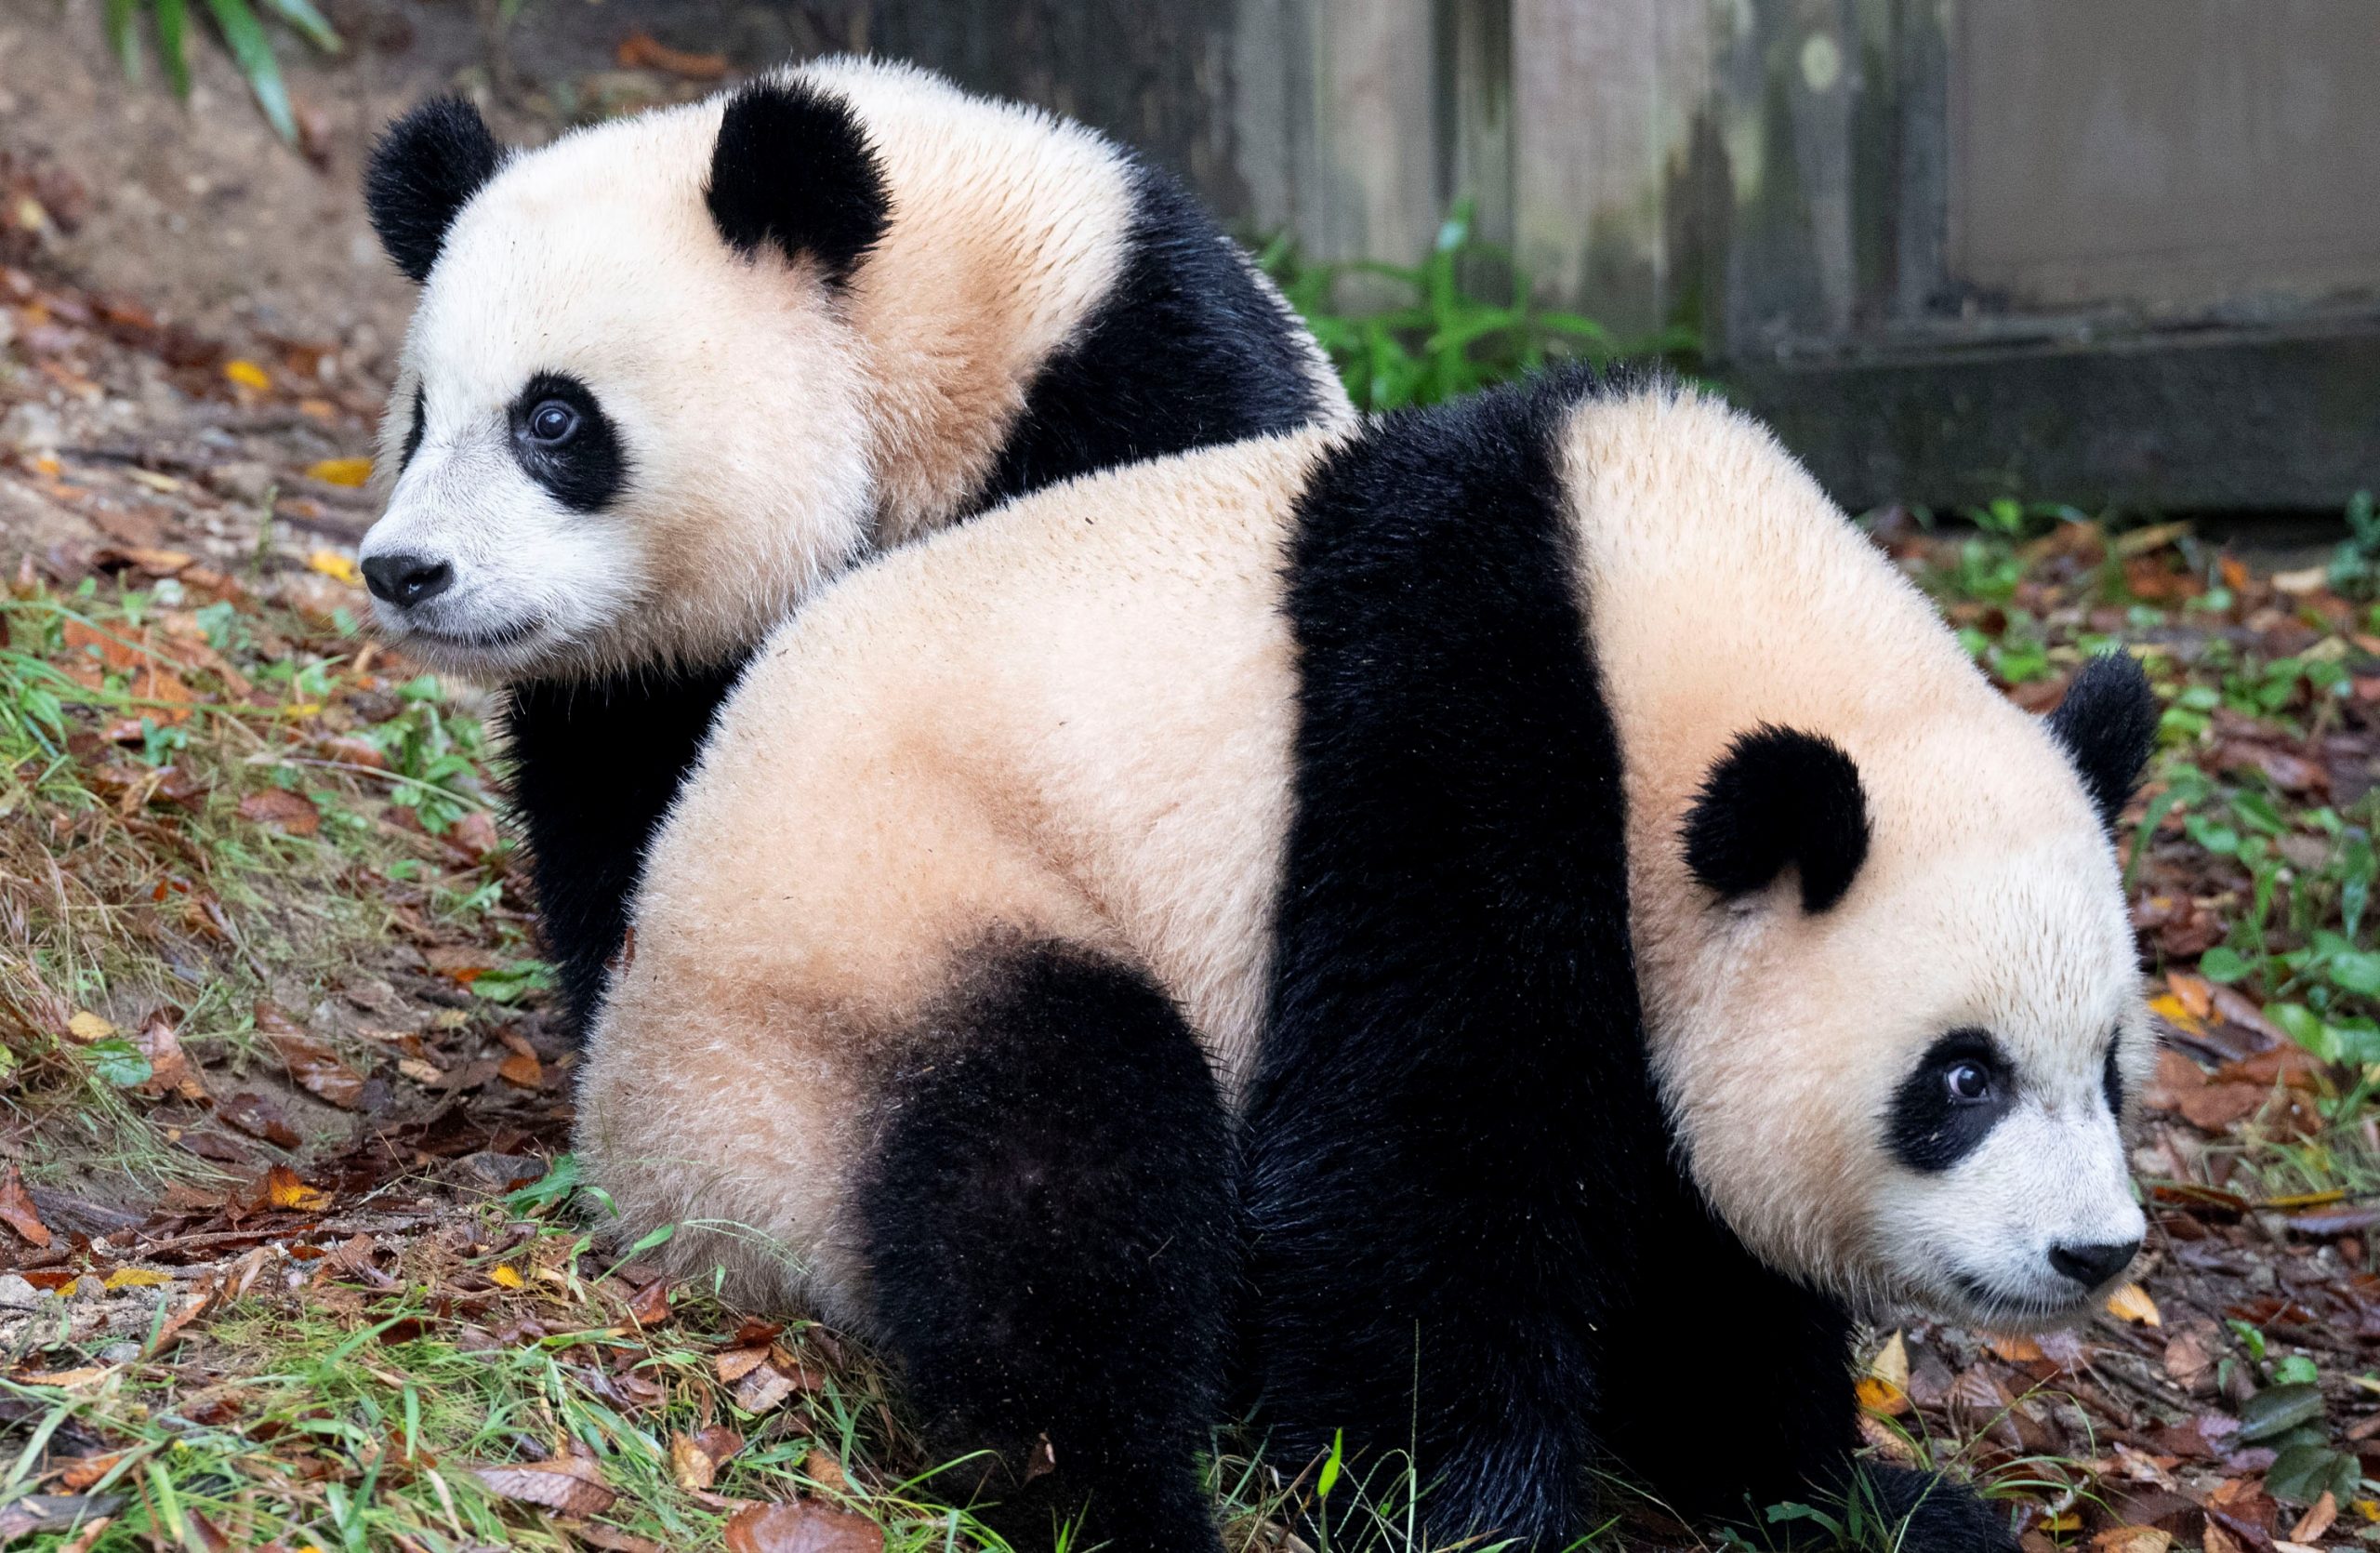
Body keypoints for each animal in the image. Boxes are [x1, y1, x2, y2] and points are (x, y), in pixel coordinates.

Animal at [585, 366, 2170, 1553]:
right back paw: (1126, 1498)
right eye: (1960, 1078)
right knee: (1058, 1171)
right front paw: (1462, 1510)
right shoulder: (1450, 737)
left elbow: (1694, 1237)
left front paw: (1851, 1498)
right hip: (870, 946)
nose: (2092, 1250)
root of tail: (629, 1143)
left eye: (2110, 1070)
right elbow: (1424, 1156)